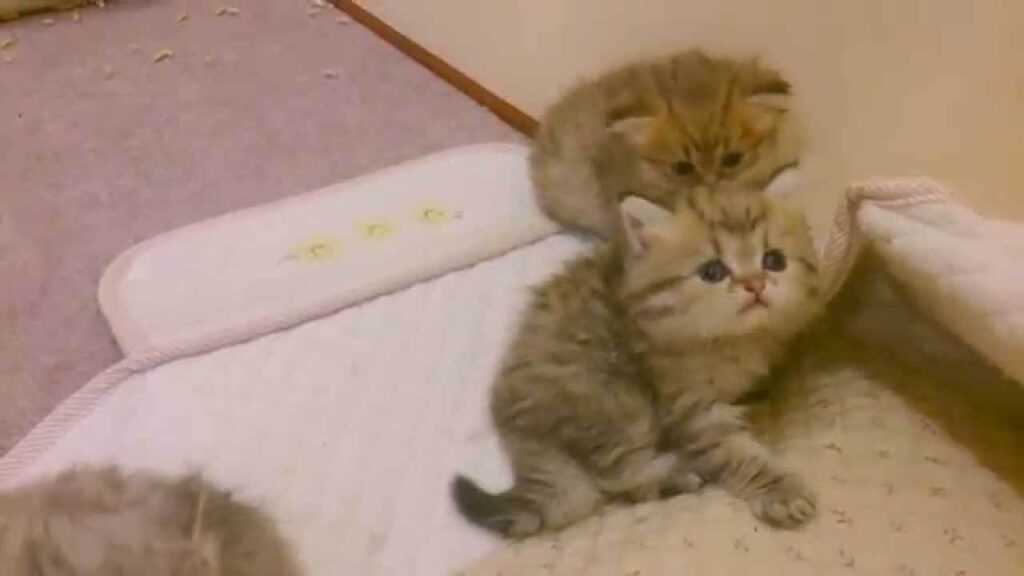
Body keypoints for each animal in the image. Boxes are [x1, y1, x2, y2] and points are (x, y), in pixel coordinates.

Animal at [452, 185, 822, 537]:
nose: (755, 285)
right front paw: (781, 492)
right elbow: (734, 454)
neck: (731, 341)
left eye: (774, 260)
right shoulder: (690, 408)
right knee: (611, 477)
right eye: (711, 271)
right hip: (612, 400)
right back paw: (676, 475)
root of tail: (516, 428)